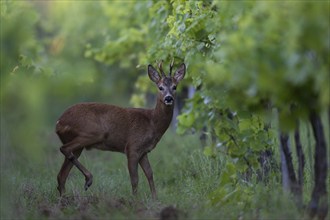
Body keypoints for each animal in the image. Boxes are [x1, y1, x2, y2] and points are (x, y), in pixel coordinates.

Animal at [56, 61, 186, 199]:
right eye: (160, 87)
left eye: (175, 87)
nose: (168, 98)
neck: (152, 122)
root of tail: (59, 122)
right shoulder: (132, 147)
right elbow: (134, 179)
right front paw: (135, 200)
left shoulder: (143, 151)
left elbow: (150, 174)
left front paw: (155, 199)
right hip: (93, 132)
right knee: (64, 149)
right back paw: (88, 180)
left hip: (77, 144)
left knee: (61, 175)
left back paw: (65, 198)